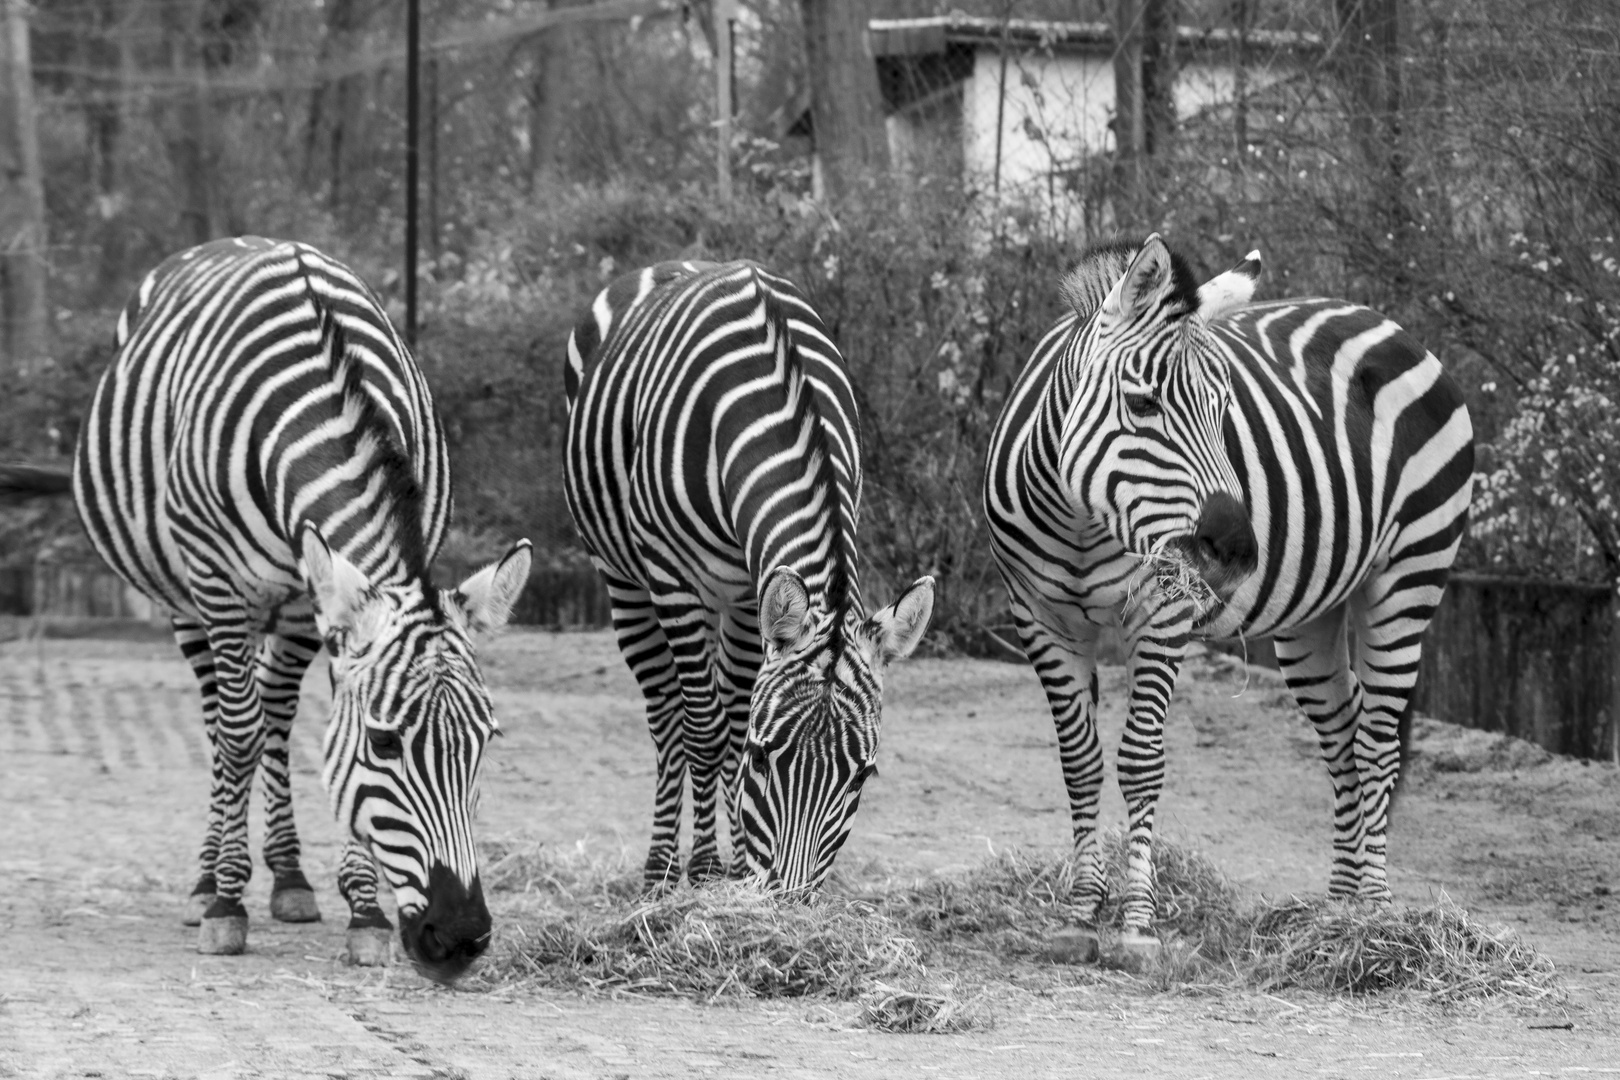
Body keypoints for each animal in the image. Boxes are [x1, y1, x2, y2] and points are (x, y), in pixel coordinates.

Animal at [0, 234, 531, 977]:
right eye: (386, 742)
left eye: (487, 740)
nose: (459, 938)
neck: (324, 399)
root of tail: (234, 240)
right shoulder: (221, 583)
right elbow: (240, 734)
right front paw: (227, 905)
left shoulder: (325, 597)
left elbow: (308, 735)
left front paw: (363, 913)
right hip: (188, 599)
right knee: (224, 723)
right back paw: (207, 882)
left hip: (292, 606)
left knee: (276, 714)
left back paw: (289, 878)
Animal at [563, 257, 933, 893]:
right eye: (764, 759)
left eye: (862, 776)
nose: (787, 901)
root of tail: (674, 263)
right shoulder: (674, 581)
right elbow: (708, 733)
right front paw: (708, 870)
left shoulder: (745, 590)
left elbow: (734, 719)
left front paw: (734, 870)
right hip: (625, 581)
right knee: (668, 718)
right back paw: (662, 869)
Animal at [978, 234, 1477, 945]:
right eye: (1143, 404)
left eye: (1224, 410)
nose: (1238, 550)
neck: (1080, 520)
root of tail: (1389, 325)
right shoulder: (1039, 620)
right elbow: (1080, 761)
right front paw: (1080, 910)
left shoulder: (1163, 611)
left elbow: (1140, 760)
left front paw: (1137, 922)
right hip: (1312, 615)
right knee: (1344, 736)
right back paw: (1338, 910)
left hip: (1409, 574)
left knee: (1379, 740)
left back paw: (1377, 915)